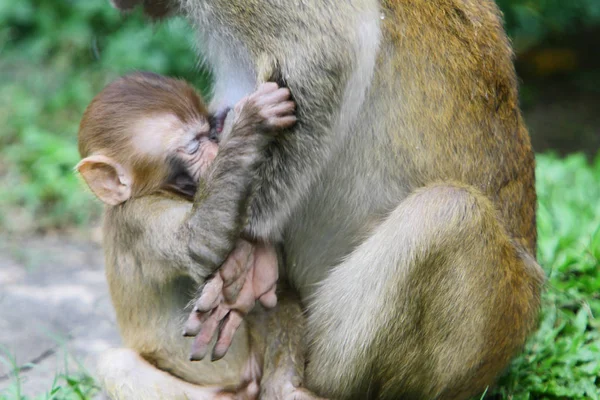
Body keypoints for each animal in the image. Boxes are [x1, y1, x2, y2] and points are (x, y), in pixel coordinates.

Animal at [76, 72, 314, 400]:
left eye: (209, 133)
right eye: (193, 147)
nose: (217, 146)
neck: (158, 191)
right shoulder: (138, 219)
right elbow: (198, 241)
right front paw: (252, 121)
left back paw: (284, 385)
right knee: (114, 362)